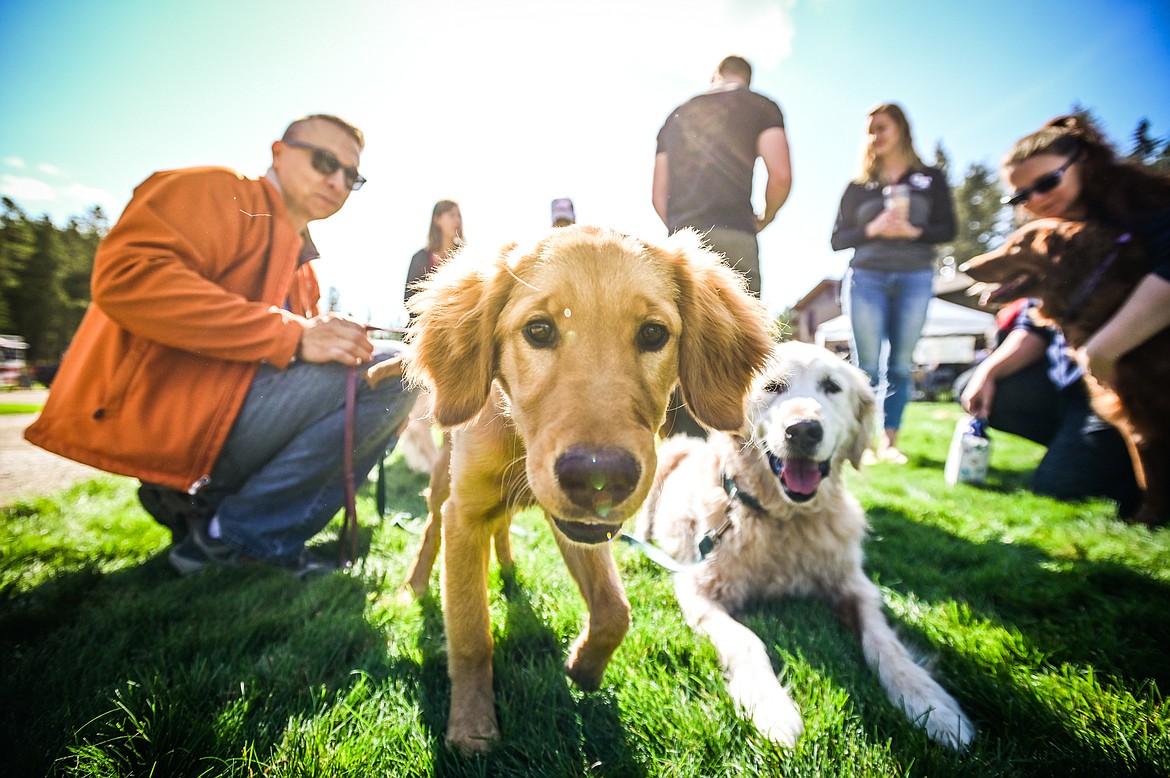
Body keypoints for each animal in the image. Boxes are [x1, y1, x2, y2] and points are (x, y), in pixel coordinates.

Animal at [402, 224, 776, 753]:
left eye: (654, 334)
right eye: (539, 330)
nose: (601, 478)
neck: (518, 437)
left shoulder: (579, 527)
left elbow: (616, 609)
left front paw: (584, 669)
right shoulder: (467, 514)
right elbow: (472, 631)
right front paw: (472, 729)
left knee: (503, 530)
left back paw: (510, 571)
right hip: (442, 489)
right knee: (432, 530)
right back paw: (415, 584)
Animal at [636, 339, 973, 748]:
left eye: (831, 387)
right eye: (772, 387)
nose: (803, 430)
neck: (786, 519)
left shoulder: (856, 586)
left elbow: (884, 642)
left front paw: (929, 702)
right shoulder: (697, 588)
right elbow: (746, 639)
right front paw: (770, 706)